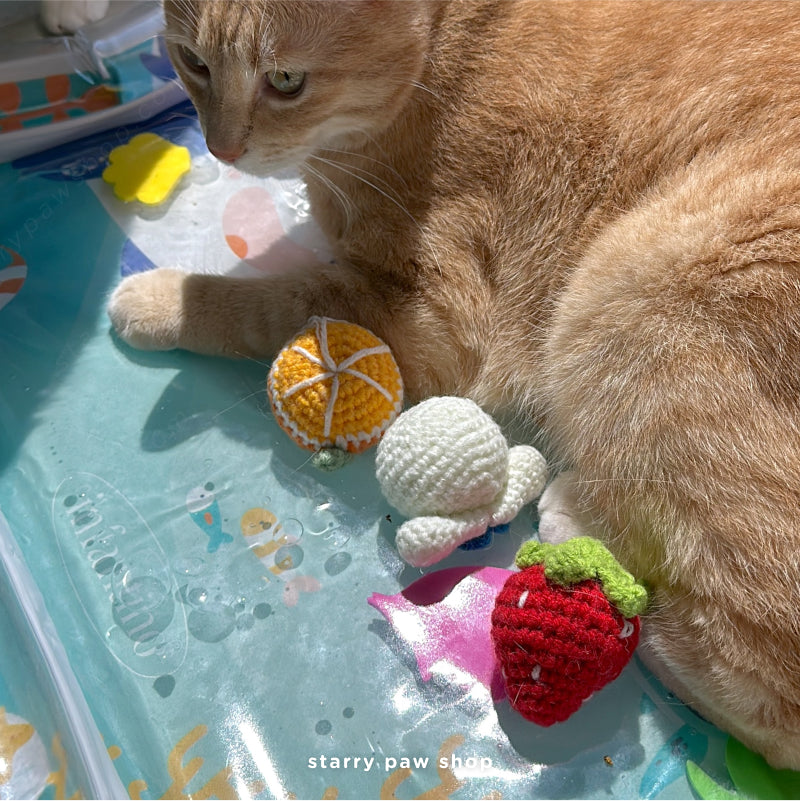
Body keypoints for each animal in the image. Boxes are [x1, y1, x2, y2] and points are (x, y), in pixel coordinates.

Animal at [108, 0, 800, 768]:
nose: (221, 150)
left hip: (632, 291)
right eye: (192, 64)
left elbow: (262, 302)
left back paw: (581, 539)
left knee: (759, 687)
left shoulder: (432, 320)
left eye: (286, 81)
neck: (443, 61)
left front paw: (160, 299)